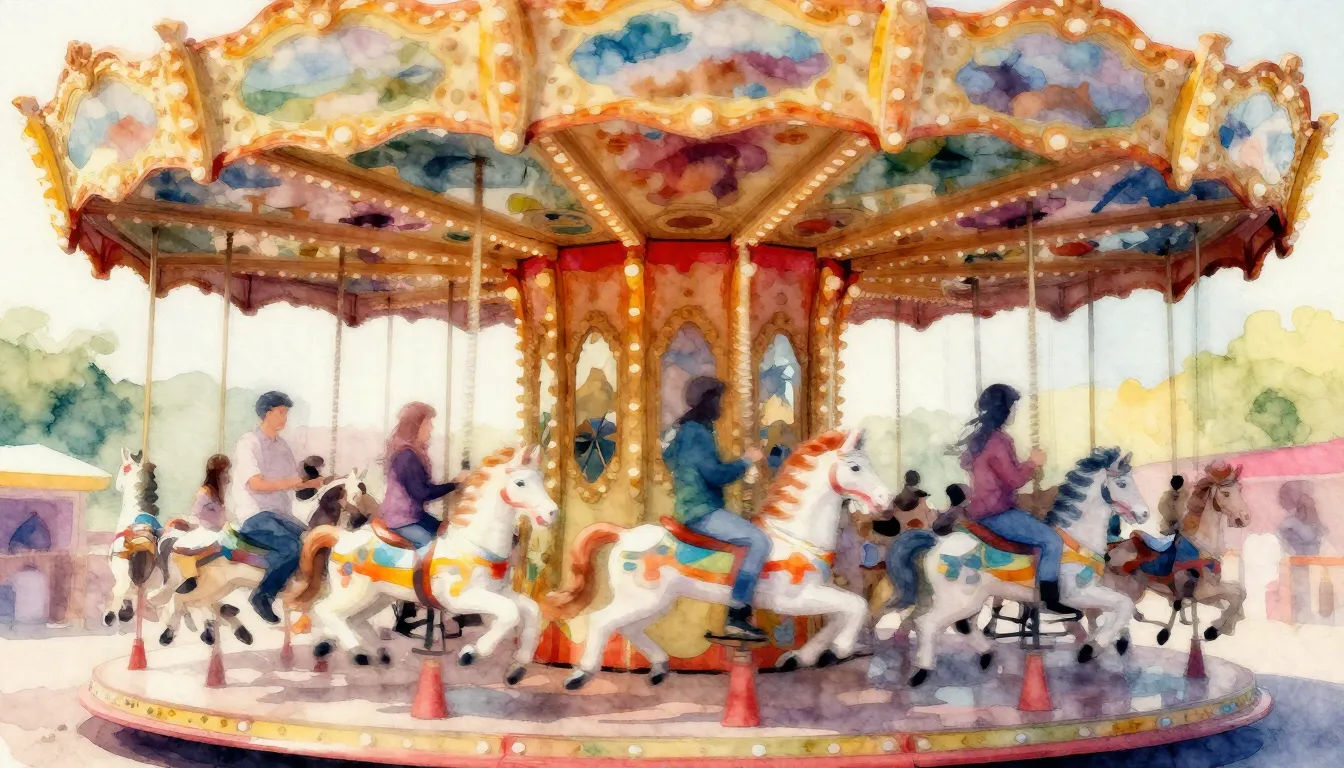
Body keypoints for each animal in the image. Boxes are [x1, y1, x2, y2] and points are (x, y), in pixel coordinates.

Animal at [151, 468, 375, 648]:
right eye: (357, 492)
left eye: (364, 490)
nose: (361, 519)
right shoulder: (304, 597)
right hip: (208, 584)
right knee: (180, 599)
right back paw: (170, 634)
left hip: (221, 586)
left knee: (196, 603)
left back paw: (234, 631)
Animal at [285, 446, 557, 677]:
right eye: (520, 483)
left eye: (541, 479)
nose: (553, 512)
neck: (472, 543)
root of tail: (342, 537)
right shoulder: (459, 598)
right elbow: (510, 613)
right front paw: (472, 653)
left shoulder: (497, 591)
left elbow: (531, 610)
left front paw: (518, 667)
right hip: (352, 591)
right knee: (325, 610)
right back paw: (357, 652)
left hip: (378, 596)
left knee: (354, 619)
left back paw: (378, 653)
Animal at [543, 429, 895, 691]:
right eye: (855, 467)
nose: (885, 498)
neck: (792, 535)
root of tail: (624, 534)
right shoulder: (791, 599)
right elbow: (855, 605)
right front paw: (840, 648)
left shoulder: (815, 593)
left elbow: (840, 613)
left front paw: (803, 657)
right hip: (641, 597)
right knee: (601, 621)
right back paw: (581, 675)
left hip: (655, 600)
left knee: (628, 628)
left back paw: (659, 667)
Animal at [877, 448, 1149, 686]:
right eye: (1122, 484)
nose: (1145, 513)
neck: (1077, 539)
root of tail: (936, 541)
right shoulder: (1076, 594)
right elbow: (1123, 605)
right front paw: (1090, 649)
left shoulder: (1093, 590)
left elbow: (1120, 608)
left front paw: (1104, 645)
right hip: (958, 599)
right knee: (928, 624)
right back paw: (921, 672)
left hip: (973, 598)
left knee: (962, 625)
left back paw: (987, 656)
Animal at [1105, 461, 1251, 643]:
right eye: (1226, 493)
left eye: (1240, 490)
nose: (1244, 519)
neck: (1202, 545)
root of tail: (1110, 549)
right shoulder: (1203, 592)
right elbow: (1235, 595)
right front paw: (1216, 628)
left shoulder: (1211, 587)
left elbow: (1239, 593)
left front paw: (1226, 625)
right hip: (1129, 589)